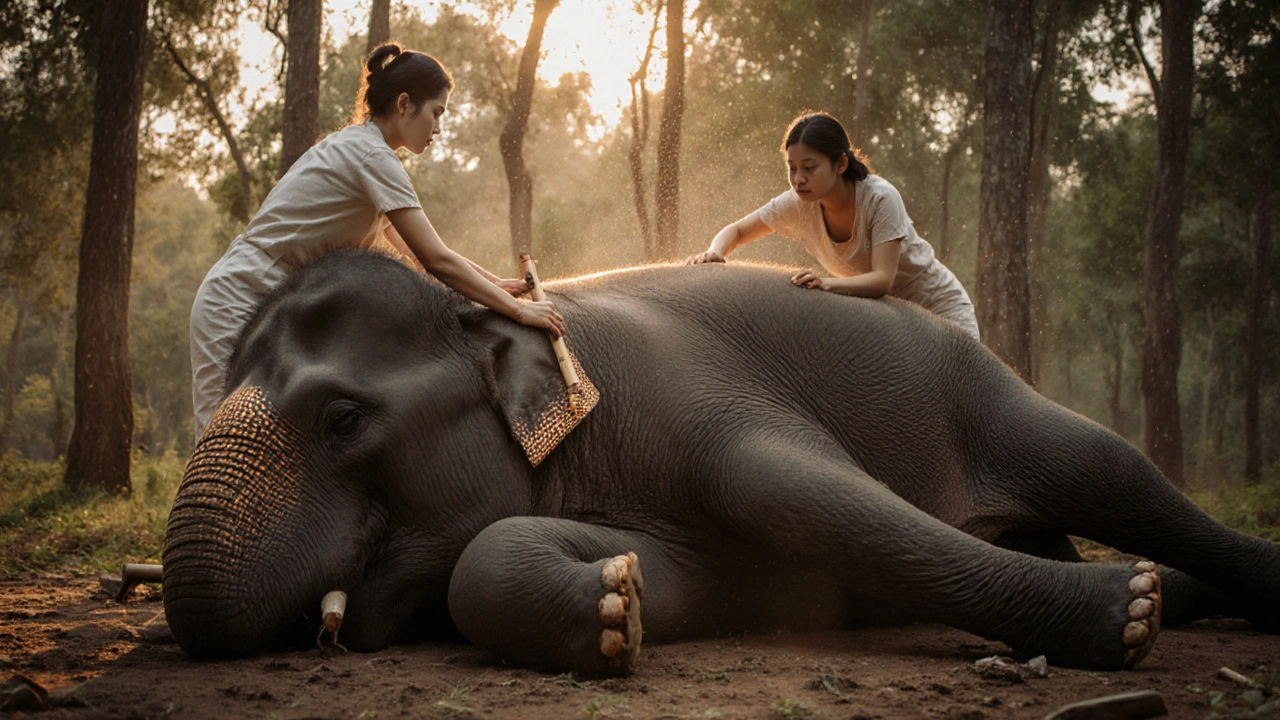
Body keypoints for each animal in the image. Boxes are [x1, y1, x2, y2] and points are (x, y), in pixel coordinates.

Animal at [162, 249, 1279, 678]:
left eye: (344, 419)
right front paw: (619, 603)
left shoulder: (696, 392)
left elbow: (817, 503)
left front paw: (1126, 616)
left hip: (985, 388)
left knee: (1106, 468)